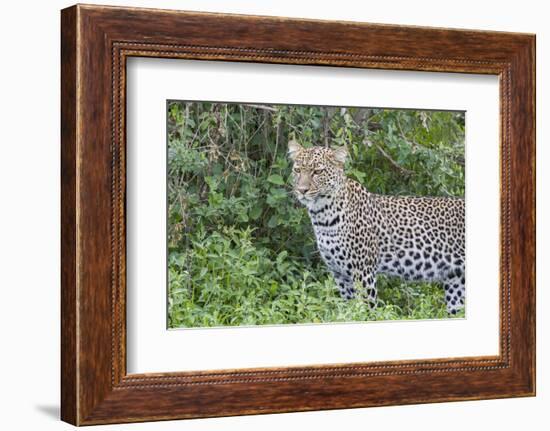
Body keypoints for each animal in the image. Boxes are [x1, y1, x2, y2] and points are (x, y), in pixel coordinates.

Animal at [288, 141, 466, 314]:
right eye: (297, 170)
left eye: (318, 172)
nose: (302, 190)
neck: (322, 216)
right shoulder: (340, 275)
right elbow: (349, 311)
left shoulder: (363, 272)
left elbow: (364, 311)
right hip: (456, 283)